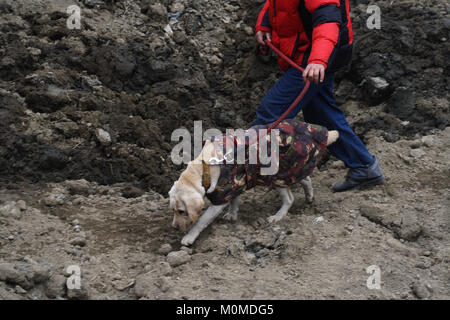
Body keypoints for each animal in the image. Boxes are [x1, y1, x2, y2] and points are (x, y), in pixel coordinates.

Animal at [171, 124, 340, 246]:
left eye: (181, 211)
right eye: (173, 210)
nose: (174, 227)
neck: (204, 166)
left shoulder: (220, 198)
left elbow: (201, 220)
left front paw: (190, 237)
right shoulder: (233, 185)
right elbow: (234, 201)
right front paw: (232, 215)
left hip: (276, 174)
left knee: (289, 199)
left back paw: (278, 216)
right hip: (291, 169)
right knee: (305, 178)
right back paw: (309, 196)